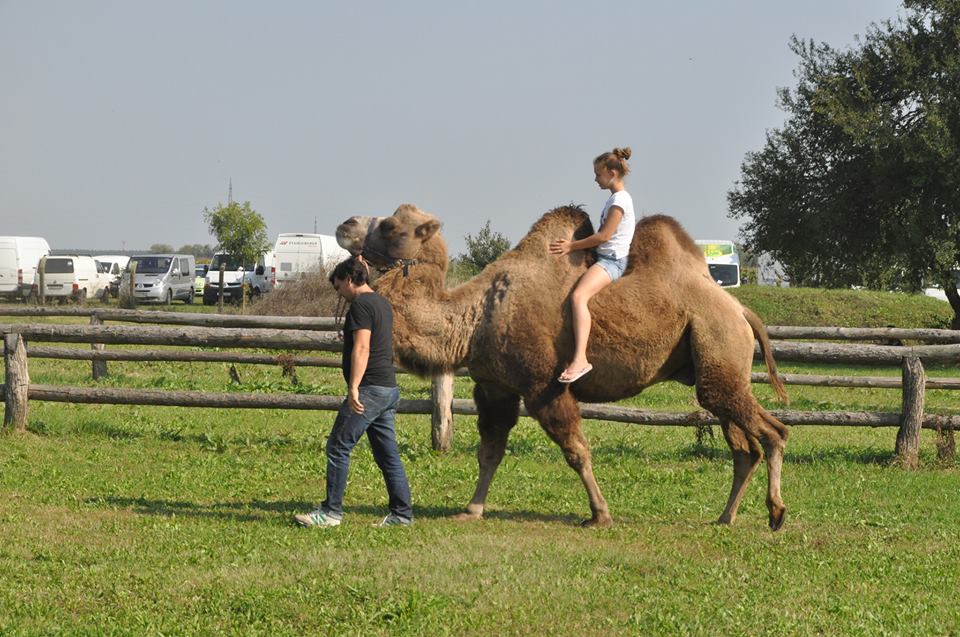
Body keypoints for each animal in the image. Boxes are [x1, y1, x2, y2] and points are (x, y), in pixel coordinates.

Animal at [334, 204, 792, 528]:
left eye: (391, 226)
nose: (345, 224)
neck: (476, 316)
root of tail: (741, 310)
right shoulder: (496, 388)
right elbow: (489, 452)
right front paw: (472, 508)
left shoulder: (544, 386)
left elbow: (577, 452)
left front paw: (600, 514)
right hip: (714, 366)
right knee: (742, 446)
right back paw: (725, 517)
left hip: (718, 344)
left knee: (772, 432)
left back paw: (775, 514)